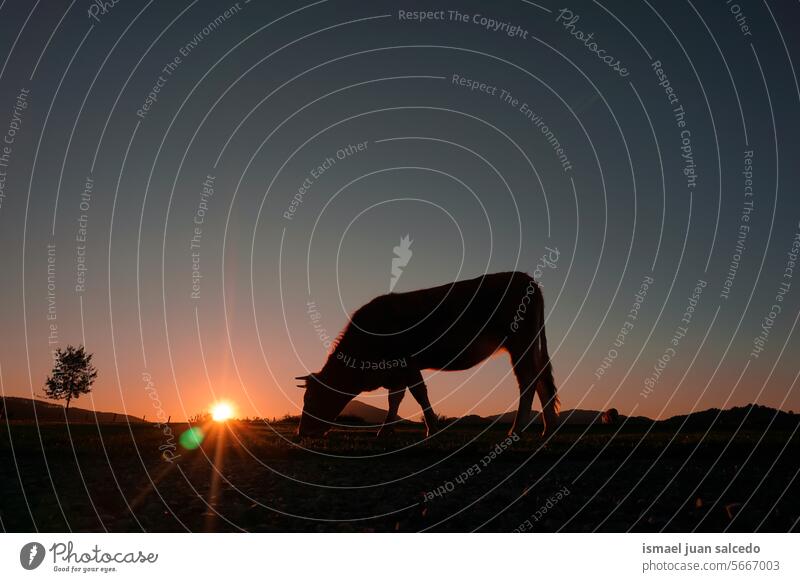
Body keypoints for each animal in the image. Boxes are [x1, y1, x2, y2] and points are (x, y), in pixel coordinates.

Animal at [296, 272, 560, 440]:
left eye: (310, 398)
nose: (301, 433)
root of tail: (526, 278)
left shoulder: (407, 363)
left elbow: (419, 394)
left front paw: (432, 428)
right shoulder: (396, 372)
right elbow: (395, 399)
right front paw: (385, 430)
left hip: (520, 343)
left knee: (528, 381)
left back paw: (517, 429)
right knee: (541, 381)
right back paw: (548, 429)